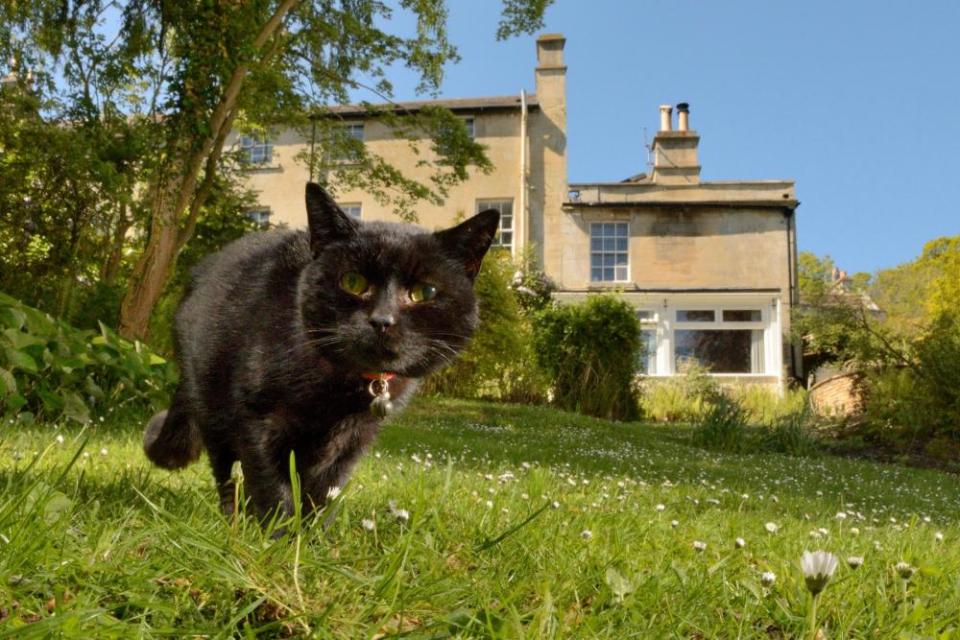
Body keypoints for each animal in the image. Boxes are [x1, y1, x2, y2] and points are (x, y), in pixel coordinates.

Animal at [146, 181, 498, 520]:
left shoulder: (354, 437)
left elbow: (324, 491)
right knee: (226, 472)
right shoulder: (256, 418)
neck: (340, 390)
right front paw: (278, 535)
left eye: (425, 292)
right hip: (212, 402)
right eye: (353, 281)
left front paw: (313, 535)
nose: (382, 320)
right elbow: (272, 486)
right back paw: (233, 519)